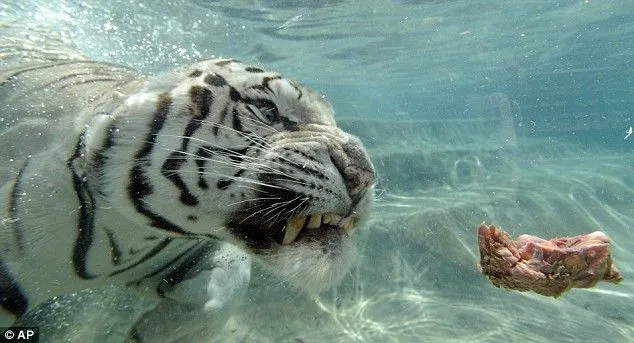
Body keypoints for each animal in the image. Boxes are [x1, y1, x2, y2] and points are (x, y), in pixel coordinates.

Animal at [0, 33, 372, 342]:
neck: (131, 232)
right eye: (267, 110)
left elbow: (231, 282)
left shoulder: (181, 250)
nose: (365, 175)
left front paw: (155, 332)